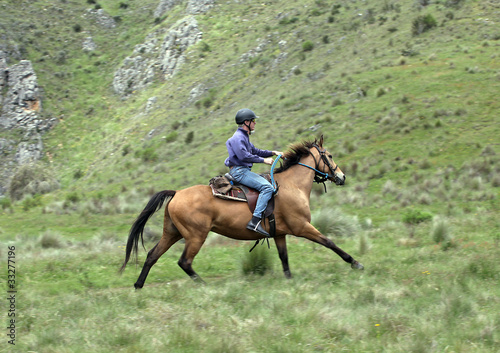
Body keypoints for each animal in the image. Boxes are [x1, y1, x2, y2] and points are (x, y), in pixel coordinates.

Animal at [121, 135, 364, 288]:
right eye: (329, 155)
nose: (342, 176)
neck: (291, 186)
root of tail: (177, 193)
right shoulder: (302, 227)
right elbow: (329, 242)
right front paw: (355, 263)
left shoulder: (280, 234)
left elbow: (284, 257)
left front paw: (289, 279)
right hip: (195, 236)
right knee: (184, 262)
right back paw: (203, 285)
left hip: (172, 233)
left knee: (152, 255)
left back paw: (138, 285)